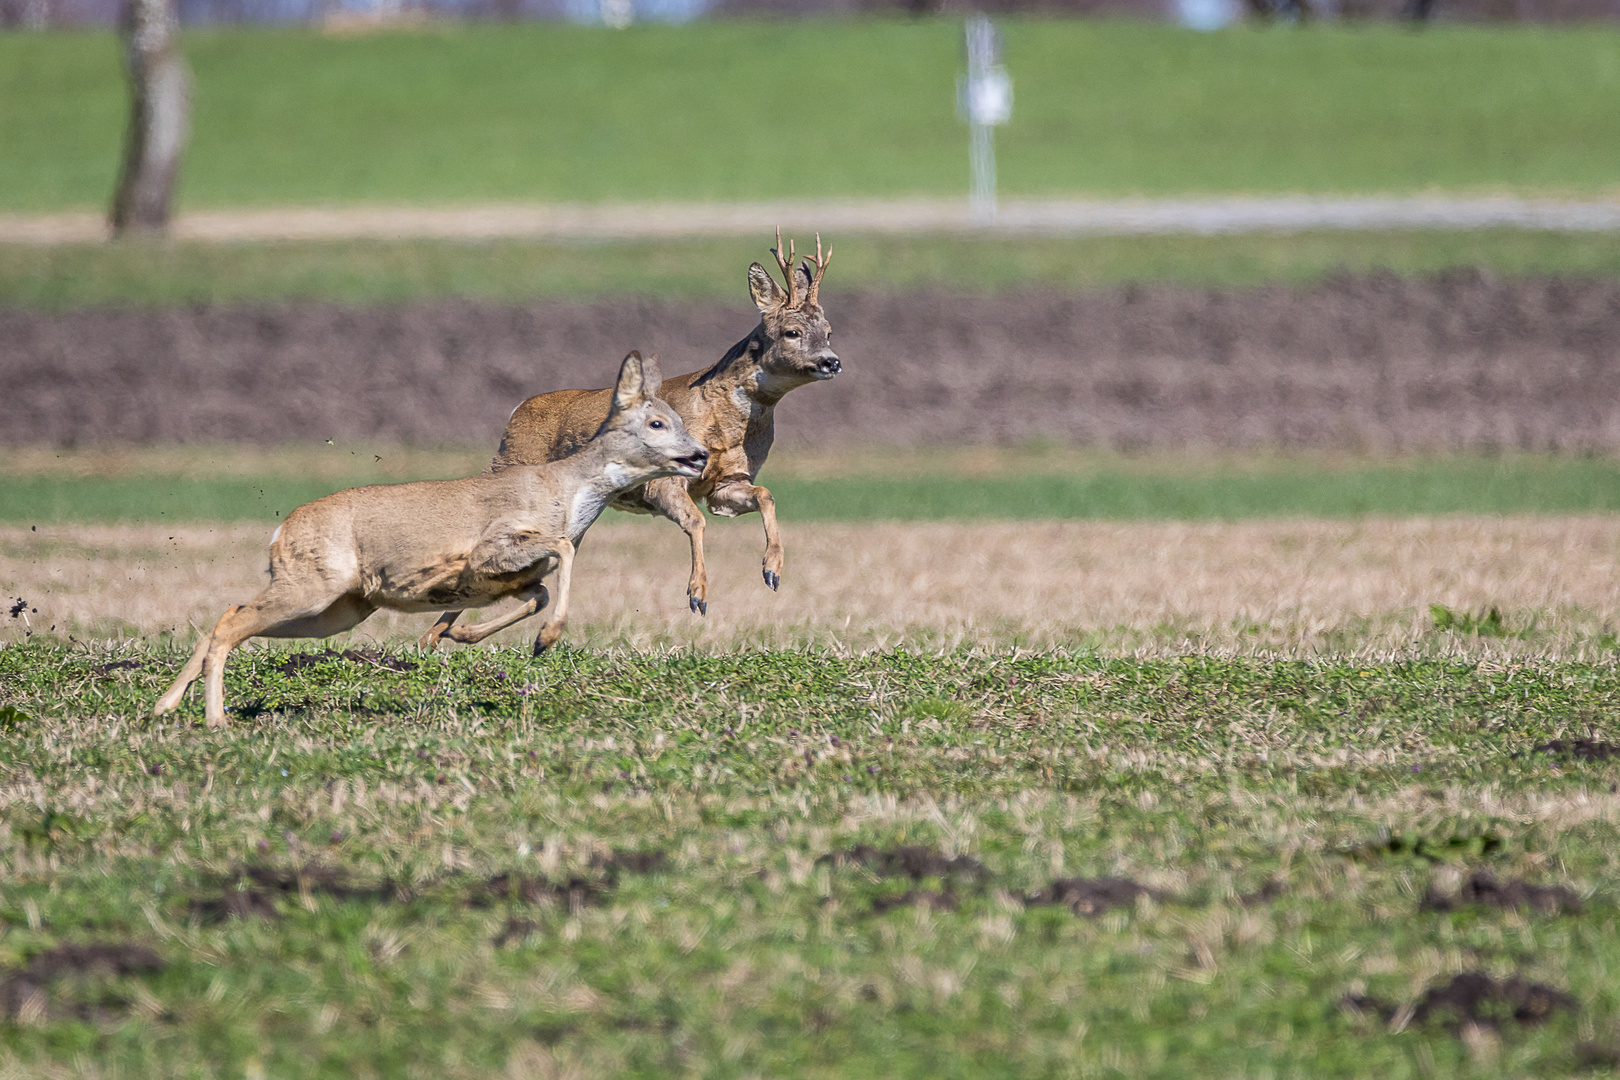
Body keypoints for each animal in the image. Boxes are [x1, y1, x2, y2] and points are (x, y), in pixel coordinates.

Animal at [153, 352, 703, 725]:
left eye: (678, 419)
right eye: (657, 422)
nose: (699, 455)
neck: (568, 494)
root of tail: (280, 530)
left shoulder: (510, 578)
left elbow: (539, 593)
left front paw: (464, 635)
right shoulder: (491, 547)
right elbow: (562, 552)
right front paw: (545, 639)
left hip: (338, 610)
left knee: (229, 614)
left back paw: (166, 705)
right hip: (312, 587)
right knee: (232, 622)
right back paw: (215, 719)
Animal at [424, 229, 842, 647]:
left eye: (829, 332)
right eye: (792, 332)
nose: (832, 361)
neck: (726, 420)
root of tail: (517, 410)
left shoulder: (726, 484)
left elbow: (764, 495)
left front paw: (772, 570)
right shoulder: (664, 481)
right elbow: (695, 522)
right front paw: (698, 595)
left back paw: (450, 634)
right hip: (512, 470)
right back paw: (435, 633)